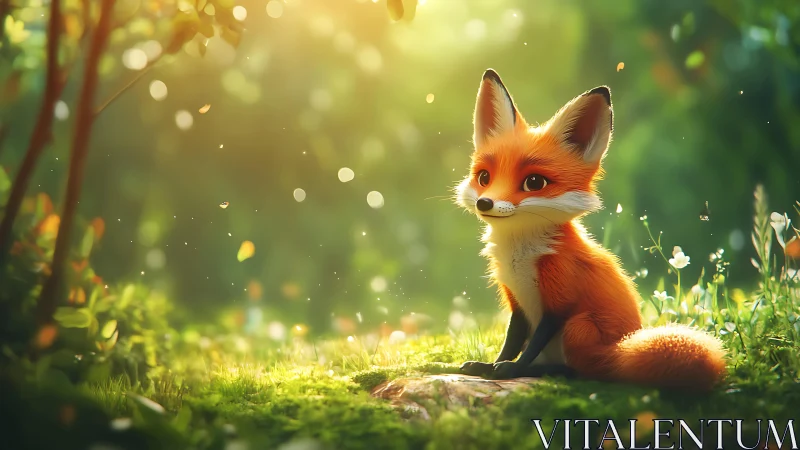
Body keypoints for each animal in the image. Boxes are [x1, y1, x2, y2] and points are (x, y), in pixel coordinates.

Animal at [455, 69, 727, 391]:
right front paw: (489, 365)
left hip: (579, 326)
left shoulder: (560, 298)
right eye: (484, 177)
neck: (519, 258)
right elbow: (511, 341)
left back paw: (550, 370)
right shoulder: (516, 301)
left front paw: (512, 369)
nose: (485, 202)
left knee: (585, 371)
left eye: (534, 182)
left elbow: (529, 347)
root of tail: (621, 351)